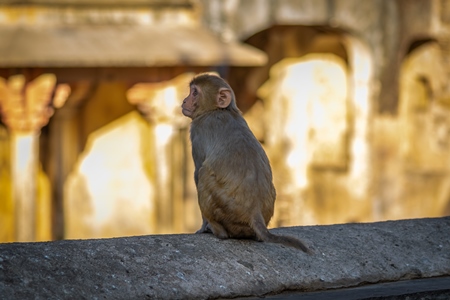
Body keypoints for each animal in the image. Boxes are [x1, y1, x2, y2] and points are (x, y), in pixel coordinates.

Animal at [181, 73, 312, 253]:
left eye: (194, 92)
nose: (184, 101)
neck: (219, 109)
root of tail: (255, 213)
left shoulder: (198, 129)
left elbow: (197, 171)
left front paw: (202, 227)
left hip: (225, 208)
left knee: (203, 174)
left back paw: (217, 230)